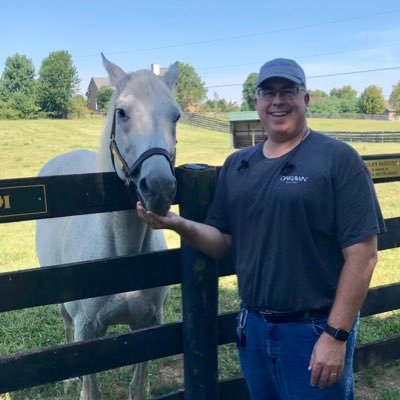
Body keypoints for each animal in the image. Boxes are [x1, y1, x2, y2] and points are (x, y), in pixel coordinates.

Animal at [36, 54, 180, 400]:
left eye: (176, 117)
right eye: (122, 112)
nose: (159, 188)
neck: (120, 256)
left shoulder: (149, 325)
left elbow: (138, 385)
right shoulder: (87, 331)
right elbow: (91, 389)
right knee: (65, 327)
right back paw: (68, 380)